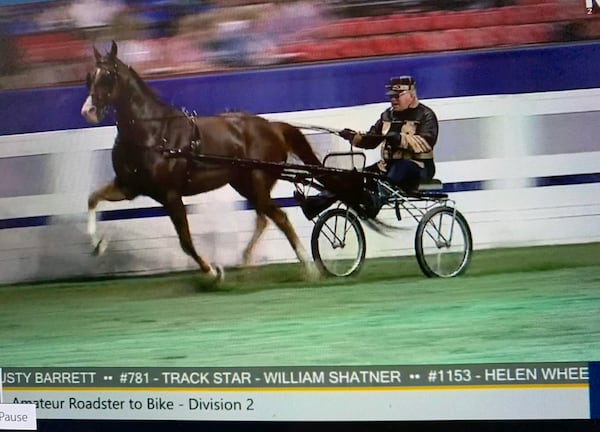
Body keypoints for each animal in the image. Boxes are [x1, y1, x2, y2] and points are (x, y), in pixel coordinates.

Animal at [81, 42, 324, 282]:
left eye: (109, 75)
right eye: (90, 76)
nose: (88, 111)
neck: (153, 134)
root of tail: (272, 127)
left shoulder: (171, 195)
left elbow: (185, 241)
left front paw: (213, 272)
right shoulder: (129, 187)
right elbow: (92, 199)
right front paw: (98, 245)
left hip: (258, 181)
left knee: (279, 217)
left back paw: (309, 267)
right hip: (244, 184)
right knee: (264, 218)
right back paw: (246, 263)